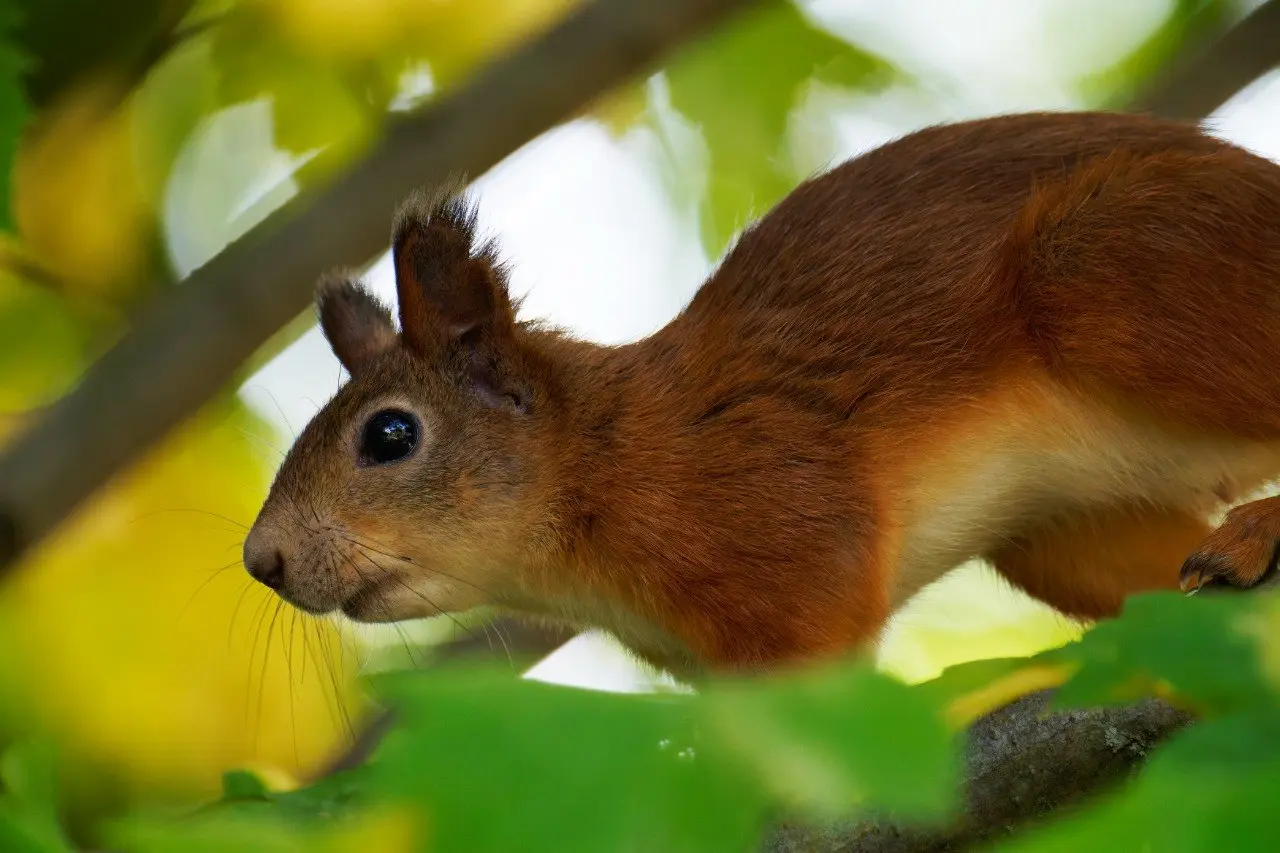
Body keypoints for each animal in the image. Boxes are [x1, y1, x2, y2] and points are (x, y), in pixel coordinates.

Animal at [243, 110, 1280, 677]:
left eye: (389, 435)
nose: (263, 560)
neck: (609, 460)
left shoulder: (788, 521)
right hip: (1058, 527)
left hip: (1115, 264)